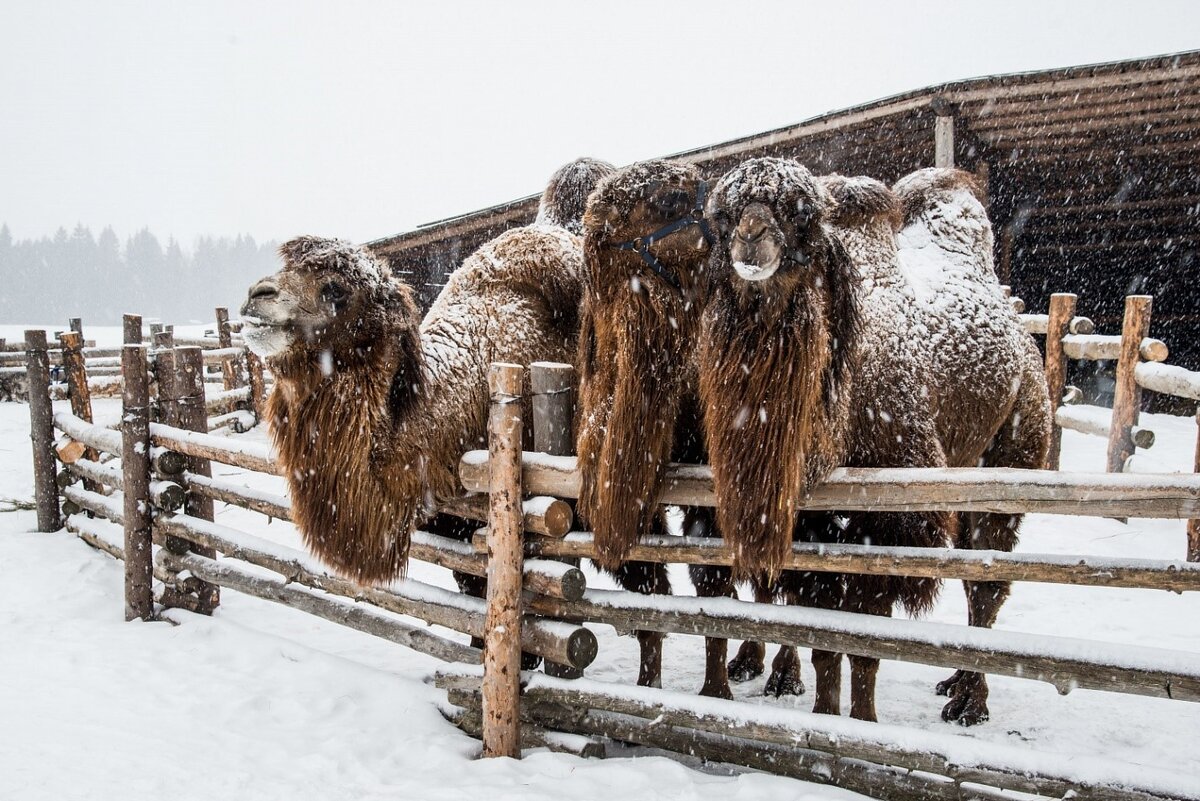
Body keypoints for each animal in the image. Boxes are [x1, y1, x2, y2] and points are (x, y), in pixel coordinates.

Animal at [700, 158, 1051, 724]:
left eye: (802, 215)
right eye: (724, 215)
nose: (751, 238)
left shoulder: (891, 519)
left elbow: (866, 641)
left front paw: (861, 720)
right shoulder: (811, 521)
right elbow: (818, 633)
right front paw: (813, 705)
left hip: (1013, 453)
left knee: (986, 581)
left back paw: (969, 702)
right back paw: (953, 683)